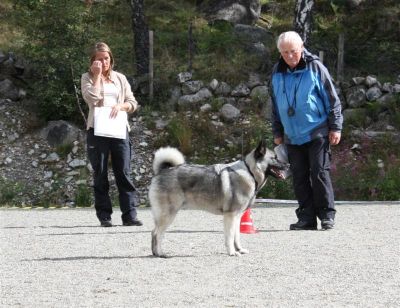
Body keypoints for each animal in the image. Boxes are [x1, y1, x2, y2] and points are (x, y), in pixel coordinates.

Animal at [149, 141, 288, 256]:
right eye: (274, 158)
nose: (288, 164)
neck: (250, 172)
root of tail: (163, 171)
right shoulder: (230, 216)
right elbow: (230, 236)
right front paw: (232, 252)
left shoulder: (237, 217)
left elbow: (236, 236)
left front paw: (239, 249)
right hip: (168, 214)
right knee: (156, 233)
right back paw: (160, 253)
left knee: (155, 233)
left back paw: (155, 253)